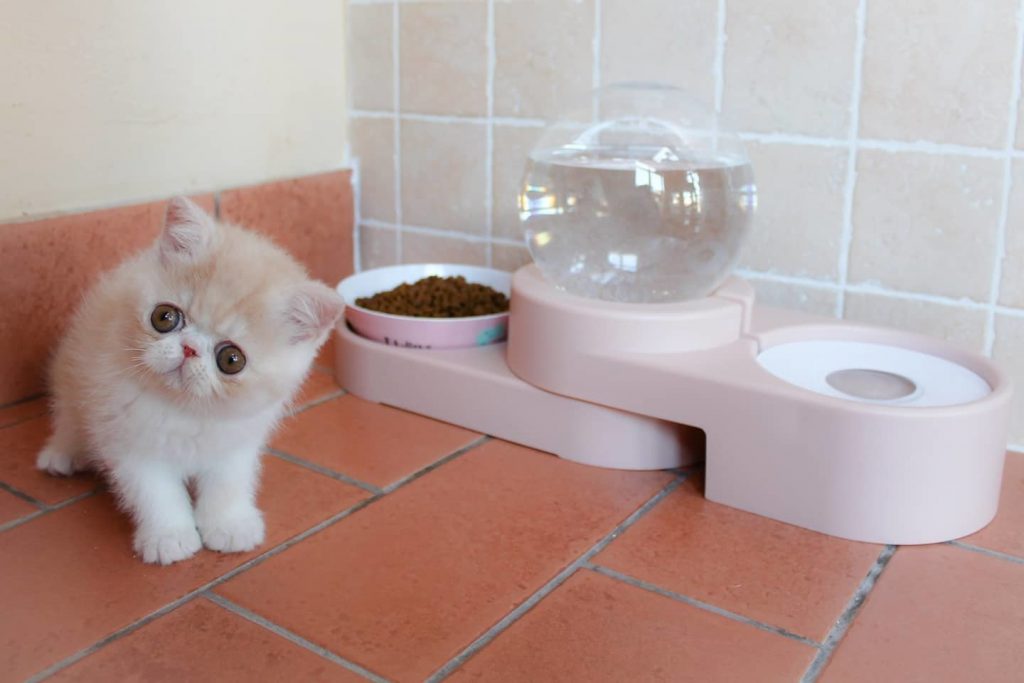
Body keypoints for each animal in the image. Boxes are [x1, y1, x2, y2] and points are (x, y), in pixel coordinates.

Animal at [35, 197, 344, 565]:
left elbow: (228, 483)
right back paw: (61, 455)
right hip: (73, 375)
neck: (185, 410)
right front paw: (169, 536)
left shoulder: (237, 440)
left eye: (231, 359)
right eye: (165, 317)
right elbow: (155, 492)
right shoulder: (129, 441)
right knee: (68, 416)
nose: (189, 348)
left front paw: (229, 524)